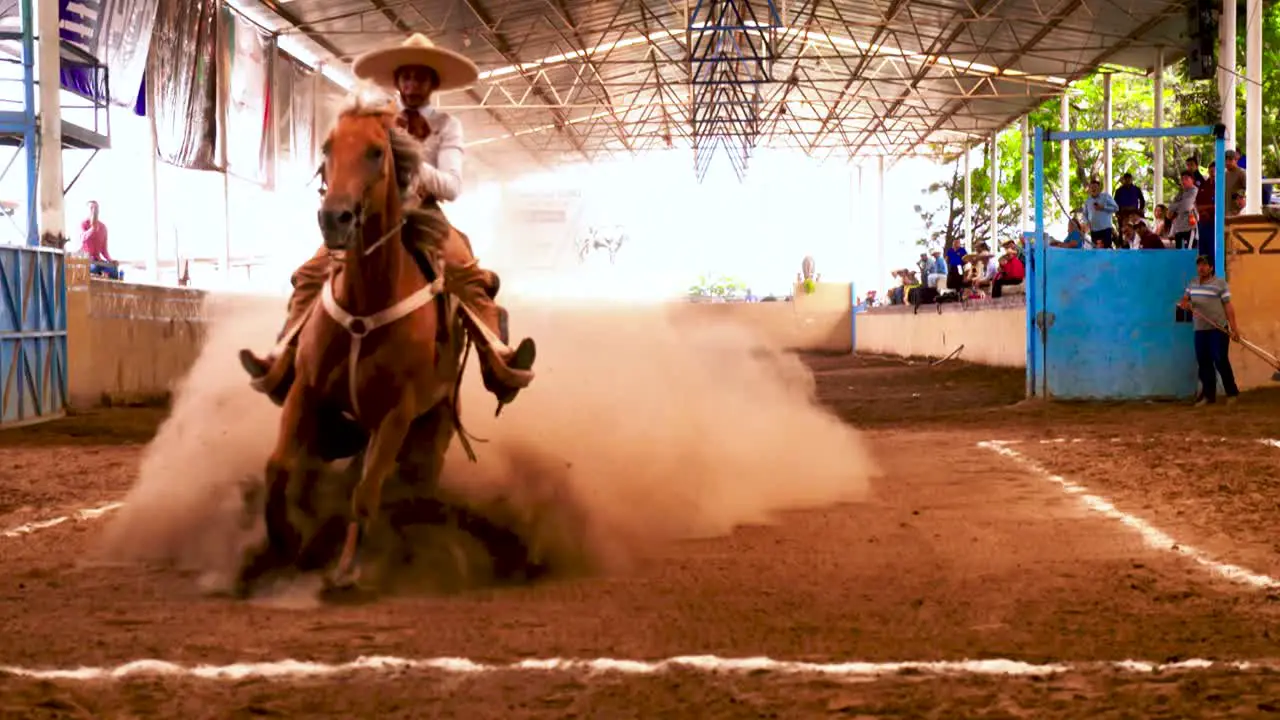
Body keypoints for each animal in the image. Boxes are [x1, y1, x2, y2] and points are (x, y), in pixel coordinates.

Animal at [232, 101, 473, 594]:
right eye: (326, 148)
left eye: (377, 152)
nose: (334, 217)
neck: (368, 299)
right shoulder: (306, 390)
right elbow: (279, 467)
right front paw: (283, 542)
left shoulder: (397, 413)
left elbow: (365, 493)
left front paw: (343, 572)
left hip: (434, 427)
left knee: (410, 483)